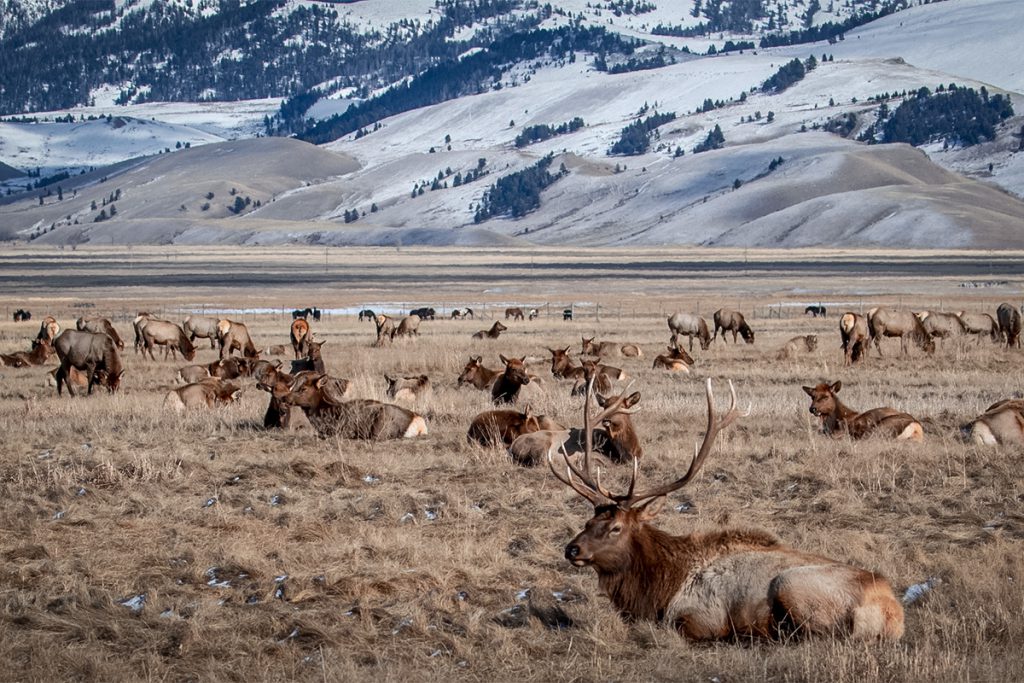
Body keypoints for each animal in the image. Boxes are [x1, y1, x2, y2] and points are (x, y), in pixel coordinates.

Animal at [548, 374, 904, 642]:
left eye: (616, 527)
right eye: (588, 521)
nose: (572, 549)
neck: (659, 586)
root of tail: (893, 612)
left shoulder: (699, 616)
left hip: (792, 585)